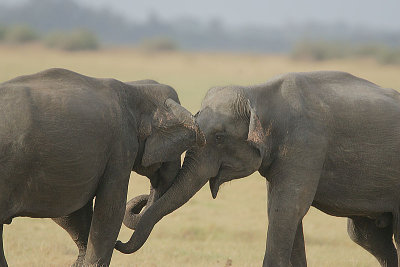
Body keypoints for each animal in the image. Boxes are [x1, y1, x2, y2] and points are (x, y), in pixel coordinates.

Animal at [0, 68, 203, 266]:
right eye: (177, 148)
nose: (119, 243)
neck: (135, 88)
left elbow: (72, 211)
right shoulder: (121, 146)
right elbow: (110, 209)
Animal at [115, 71, 400, 267]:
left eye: (219, 137)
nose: (118, 242)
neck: (258, 93)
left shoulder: (305, 146)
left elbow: (286, 210)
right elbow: (282, 212)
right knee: (366, 236)